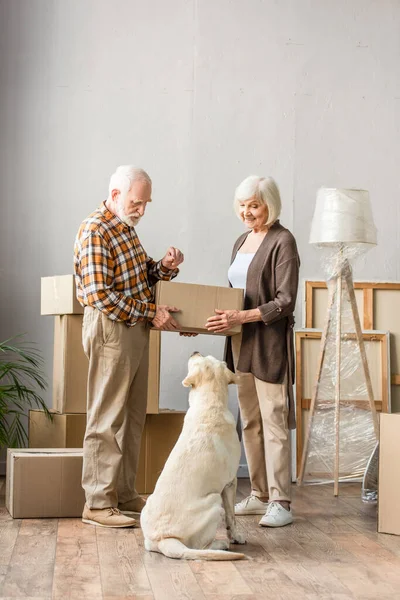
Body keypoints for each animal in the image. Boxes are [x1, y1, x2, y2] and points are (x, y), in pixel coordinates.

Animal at [141, 350, 247, 560]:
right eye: (201, 358)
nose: (195, 351)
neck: (210, 404)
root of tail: (165, 539)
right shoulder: (230, 483)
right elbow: (232, 517)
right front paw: (236, 537)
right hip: (214, 503)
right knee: (202, 546)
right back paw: (221, 544)